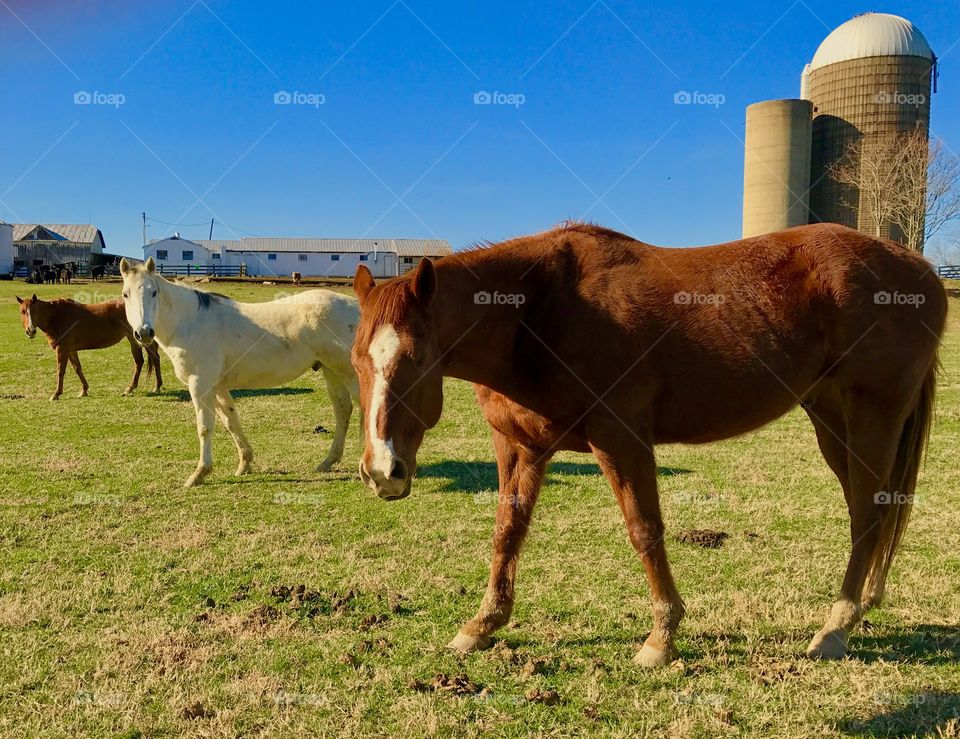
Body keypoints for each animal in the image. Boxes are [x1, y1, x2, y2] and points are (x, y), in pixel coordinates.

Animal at [15, 294, 162, 402]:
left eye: (35, 311)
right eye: (22, 312)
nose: (30, 331)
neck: (57, 316)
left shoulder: (62, 349)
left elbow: (60, 371)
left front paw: (56, 394)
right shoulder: (71, 350)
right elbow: (77, 368)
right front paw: (84, 390)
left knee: (152, 359)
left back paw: (153, 387)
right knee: (141, 361)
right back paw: (135, 388)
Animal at [119, 258, 360, 488]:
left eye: (154, 292)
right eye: (125, 294)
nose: (144, 333)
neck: (190, 322)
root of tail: (356, 306)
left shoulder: (200, 385)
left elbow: (205, 428)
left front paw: (199, 474)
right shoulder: (217, 387)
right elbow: (231, 421)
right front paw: (245, 464)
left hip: (351, 374)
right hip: (332, 372)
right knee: (342, 410)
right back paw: (328, 462)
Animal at [350, 223, 944, 668]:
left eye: (417, 358)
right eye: (357, 359)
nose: (383, 470)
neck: (538, 311)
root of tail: (921, 273)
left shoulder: (621, 438)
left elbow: (644, 531)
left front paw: (661, 637)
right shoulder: (518, 447)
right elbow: (507, 532)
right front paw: (481, 625)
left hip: (871, 419)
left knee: (867, 515)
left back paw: (835, 628)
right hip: (831, 421)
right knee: (871, 514)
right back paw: (860, 607)